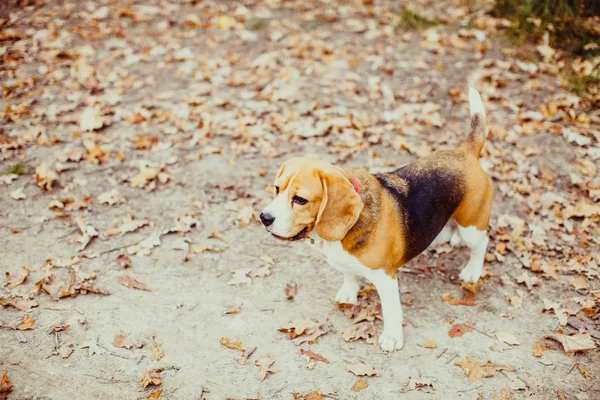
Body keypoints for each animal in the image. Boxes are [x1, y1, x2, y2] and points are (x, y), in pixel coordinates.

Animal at [262, 88, 492, 350]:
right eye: (276, 189)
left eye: (300, 199)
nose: (264, 217)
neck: (342, 233)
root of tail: (465, 151)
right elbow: (349, 275)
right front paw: (349, 293)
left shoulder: (386, 278)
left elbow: (391, 311)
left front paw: (392, 337)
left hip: (472, 227)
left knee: (481, 243)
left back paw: (472, 270)